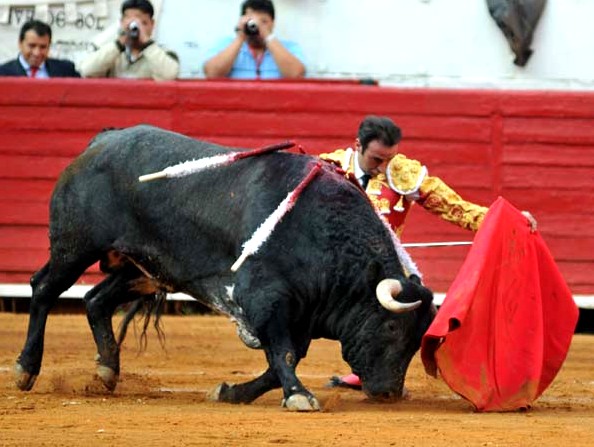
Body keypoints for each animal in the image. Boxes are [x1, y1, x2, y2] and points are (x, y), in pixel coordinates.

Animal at [14, 125, 435, 411]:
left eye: (418, 340)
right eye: (392, 327)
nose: (389, 393)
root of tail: (102, 141)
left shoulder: (299, 315)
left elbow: (279, 362)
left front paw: (230, 392)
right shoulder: (266, 300)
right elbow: (283, 355)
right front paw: (299, 395)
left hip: (144, 269)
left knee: (95, 300)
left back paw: (106, 370)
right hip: (76, 246)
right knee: (44, 288)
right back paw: (26, 369)